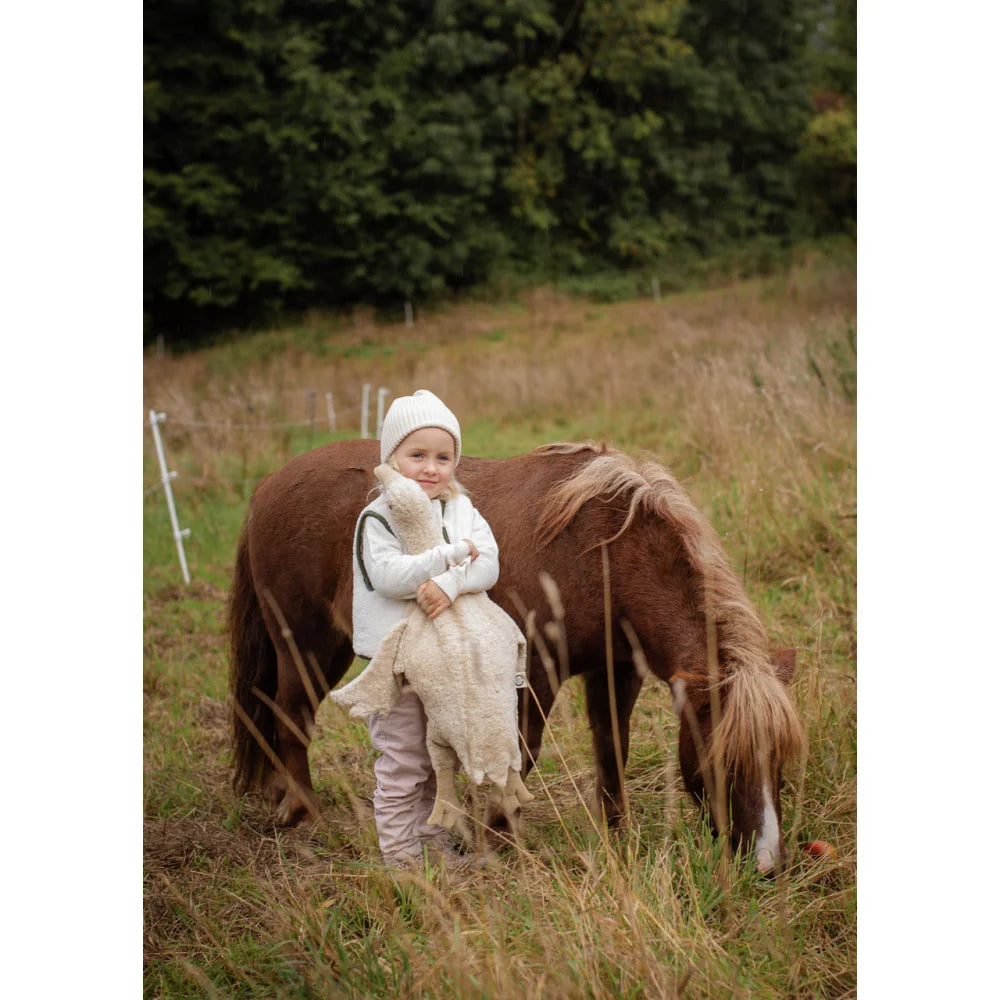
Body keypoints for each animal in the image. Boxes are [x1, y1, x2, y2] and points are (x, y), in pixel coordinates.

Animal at [228, 439, 804, 873]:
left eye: (779, 760)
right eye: (724, 759)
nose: (767, 864)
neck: (601, 549)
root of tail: (266, 487)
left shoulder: (616, 671)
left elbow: (612, 749)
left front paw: (616, 835)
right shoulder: (537, 674)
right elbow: (520, 754)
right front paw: (500, 839)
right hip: (305, 643)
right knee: (291, 715)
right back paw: (306, 813)